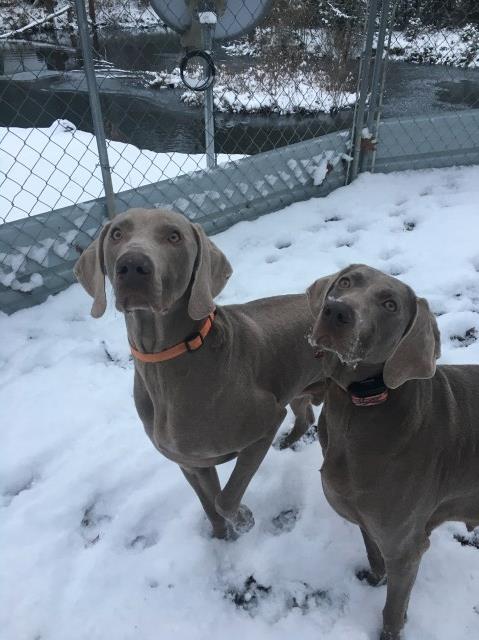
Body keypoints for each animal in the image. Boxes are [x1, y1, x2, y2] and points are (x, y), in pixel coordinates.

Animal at [74, 210, 326, 540]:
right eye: (117, 233)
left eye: (174, 236)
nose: (132, 265)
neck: (166, 360)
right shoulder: (191, 463)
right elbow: (210, 506)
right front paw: (222, 539)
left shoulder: (266, 422)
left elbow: (225, 499)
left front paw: (244, 519)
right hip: (297, 385)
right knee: (305, 415)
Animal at [308, 264, 479, 640]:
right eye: (345, 282)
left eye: (390, 305)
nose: (336, 310)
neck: (356, 409)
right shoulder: (367, 521)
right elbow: (374, 555)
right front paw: (375, 579)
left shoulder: (407, 549)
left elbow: (392, 609)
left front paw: (390, 630)